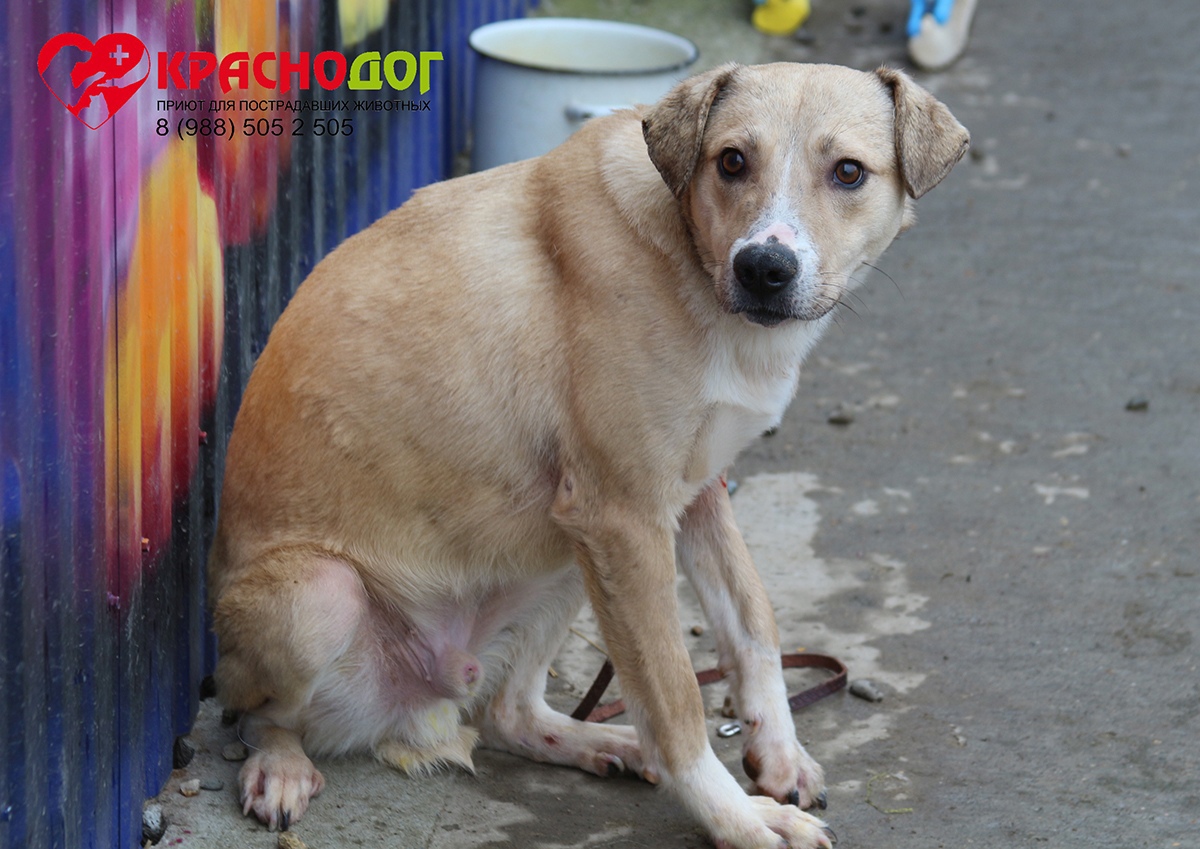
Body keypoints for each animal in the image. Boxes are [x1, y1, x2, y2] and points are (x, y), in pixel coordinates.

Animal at [211, 61, 969, 849]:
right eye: (732, 161)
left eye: (849, 172)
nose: (764, 267)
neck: (688, 256)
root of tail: (424, 704)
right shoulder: (625, 516)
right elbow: (675, 700)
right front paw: (736, 818)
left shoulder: (693, 494)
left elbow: (753, 623)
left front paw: (778, 751)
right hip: (321, 596)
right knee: (254, 713)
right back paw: (279, 765)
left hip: (559, 550)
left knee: (507, 712)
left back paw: (599, 742)